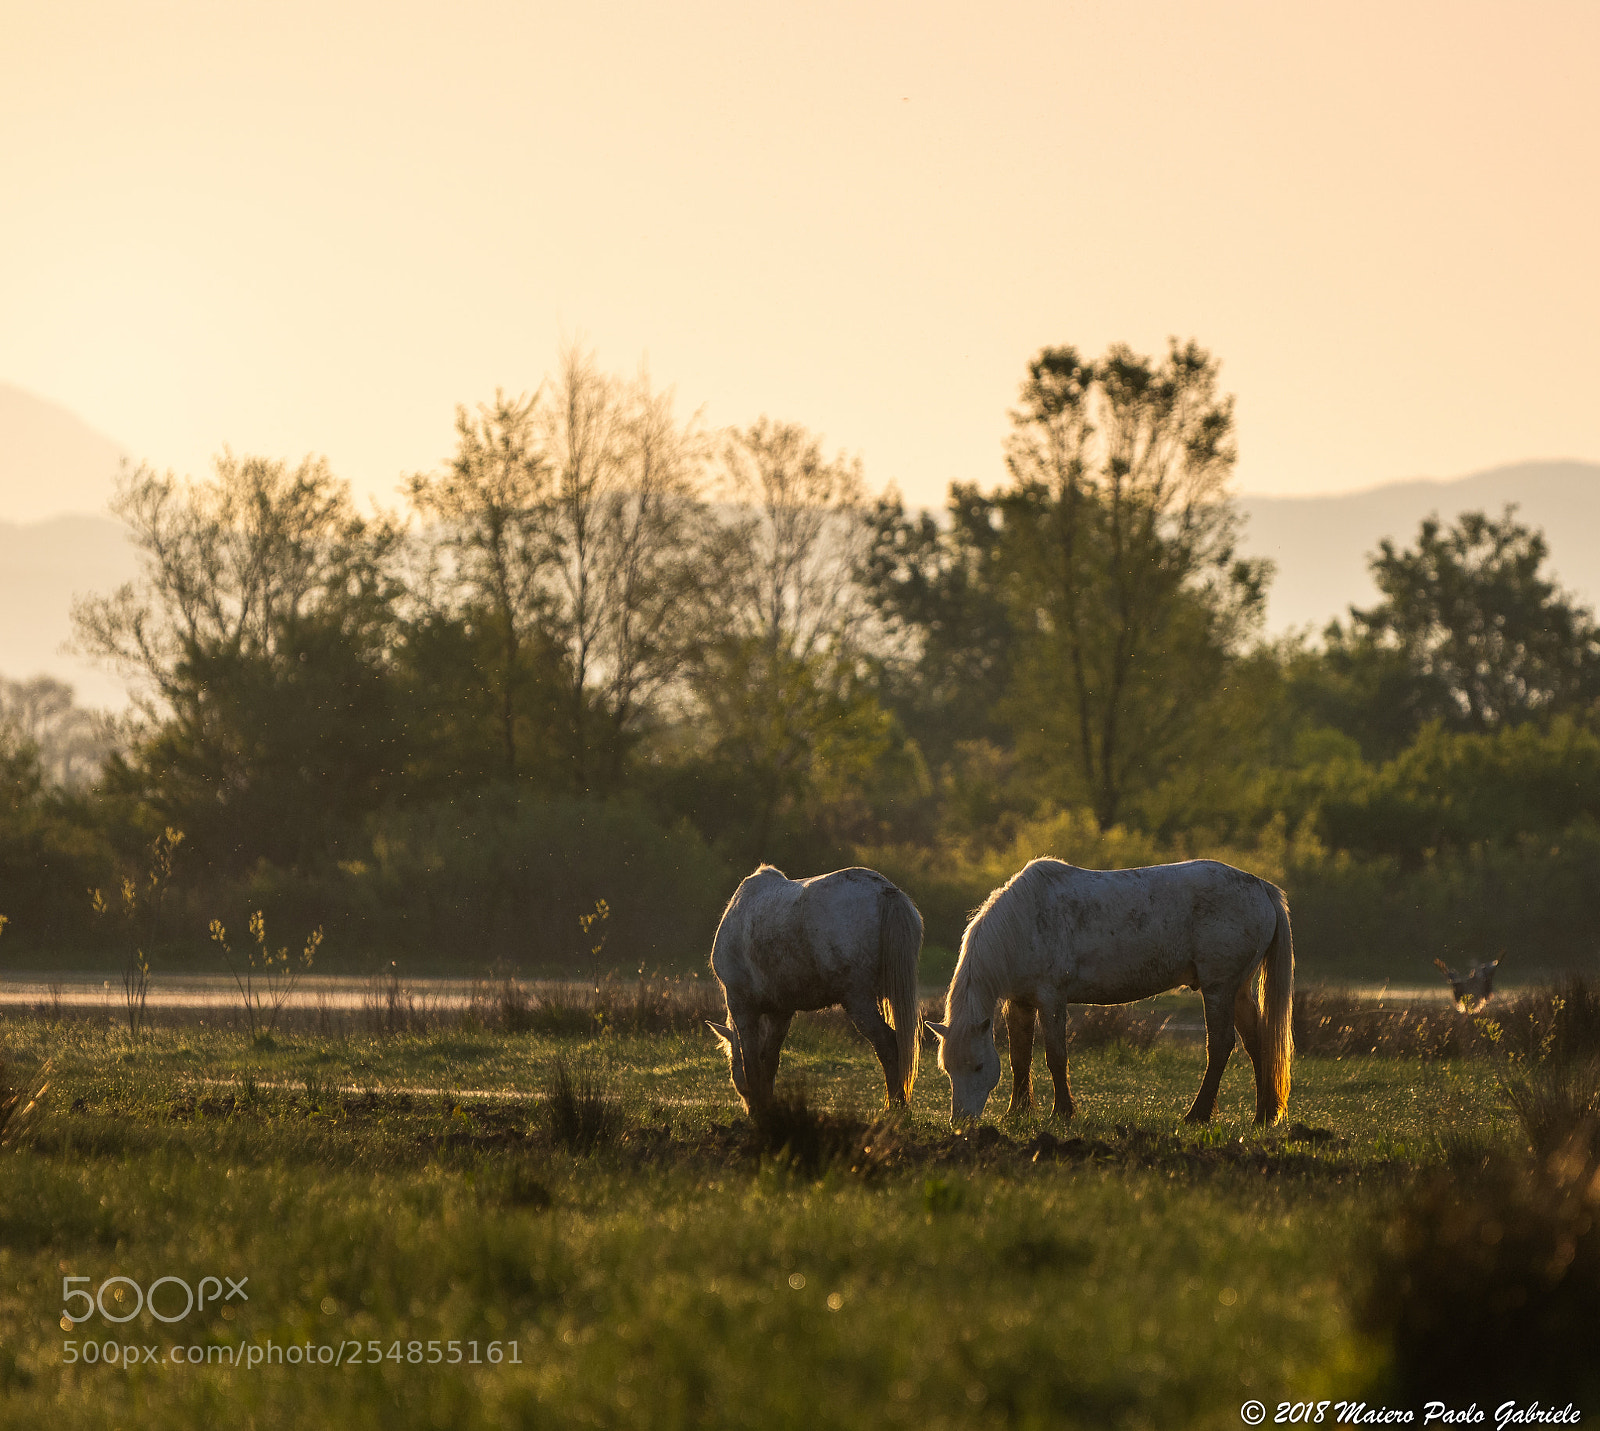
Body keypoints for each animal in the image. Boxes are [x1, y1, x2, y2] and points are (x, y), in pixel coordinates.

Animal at [705, 865, 924, 1113]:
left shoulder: (741, 1006)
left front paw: (761, 1109)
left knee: (887, 1044)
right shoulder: (781, 1012)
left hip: (858, 1000)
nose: (750, 1108)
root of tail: (885, 890)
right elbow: (769, 1060)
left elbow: (752, 1062)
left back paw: (893, 1107)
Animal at [925, 857, 1294, 1126]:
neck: (1024, 922)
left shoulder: (1052, 998)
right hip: (1238, 990)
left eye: (977, 1066)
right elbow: (1020, 1058)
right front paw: (1017, 1112)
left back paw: (1197, 1115)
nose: (961, 1121)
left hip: (1219, 988)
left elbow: (1055, 1056)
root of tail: (1262, 888)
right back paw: (1263, 1116)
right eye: (948, 1069)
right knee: (1257, 1043)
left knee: (1219, 1046)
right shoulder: (1020, 1002)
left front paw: (1062, 1112)